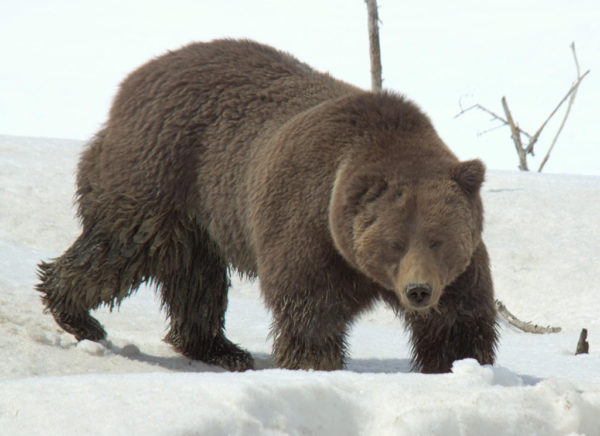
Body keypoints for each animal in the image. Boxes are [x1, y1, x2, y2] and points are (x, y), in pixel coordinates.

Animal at [35, 39, 500, 372]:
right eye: (395, 243)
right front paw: (315, 364)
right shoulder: (309, 228)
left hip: (201, 217)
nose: (418, 291)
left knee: (196, 279)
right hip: (163, 176)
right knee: (123, 251)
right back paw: (76, 312)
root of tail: (135, 78)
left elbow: (460, 321)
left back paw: (218, 347)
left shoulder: (459, 268)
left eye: (439, 241)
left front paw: (459, 365)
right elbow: (310, 312)